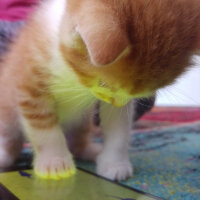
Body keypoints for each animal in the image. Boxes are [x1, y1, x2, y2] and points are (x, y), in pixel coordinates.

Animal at [0, 0, 200, 181]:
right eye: (103, 84)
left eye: (136, 95)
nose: (118, 102)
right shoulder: (30, 88)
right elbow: (45, 130)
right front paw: (54, 162)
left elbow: (118, 126)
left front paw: (115, 164)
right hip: (7, 108)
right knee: (11, 137)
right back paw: (5, 155)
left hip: (82, 119)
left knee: (78, 138)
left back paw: (90, 150)